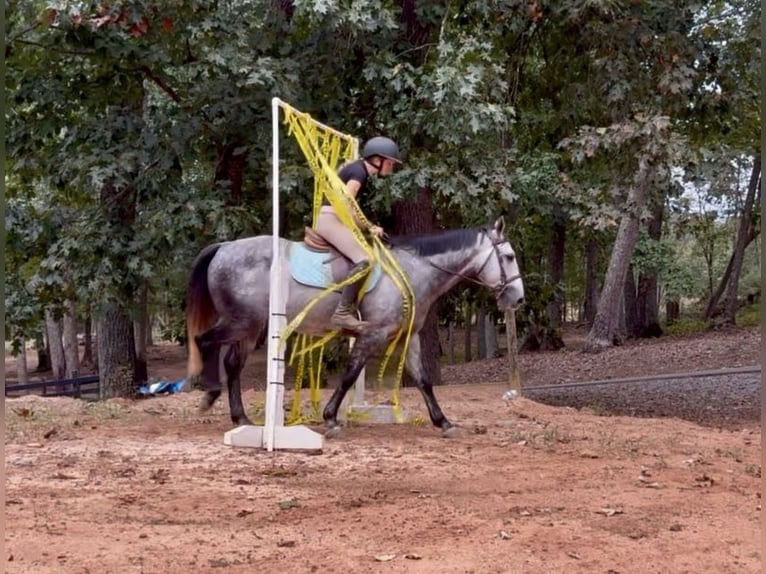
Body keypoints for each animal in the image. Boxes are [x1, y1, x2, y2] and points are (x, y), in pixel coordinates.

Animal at [185, 216, 525, 438]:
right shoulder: (372, 334)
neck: (412, 271)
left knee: (232, 364)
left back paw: (240, 416)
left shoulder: (409, 337)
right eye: (509, 256)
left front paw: (443, 422)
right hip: (242, 321)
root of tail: (225, 247)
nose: (518, 299)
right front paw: (331, 419)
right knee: (204, 341)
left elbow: (423, 380)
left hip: (250, 329)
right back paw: (210, 395)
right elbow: (349, 375)